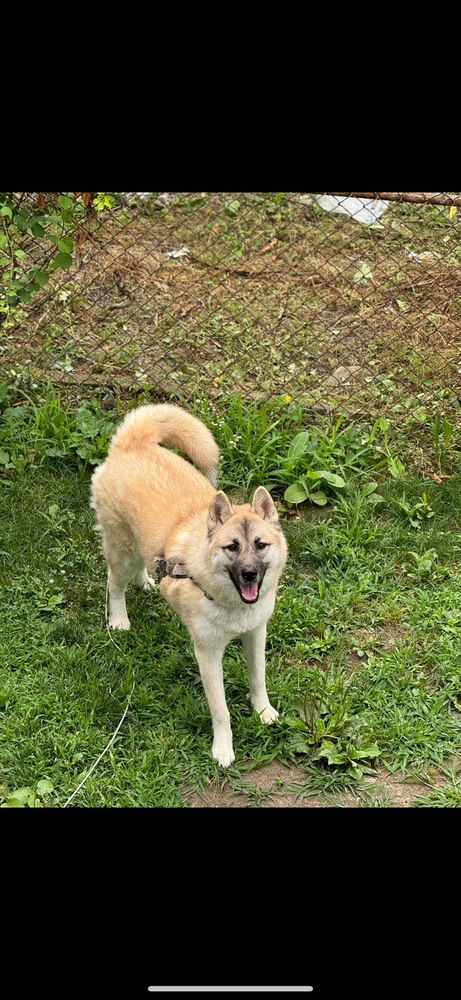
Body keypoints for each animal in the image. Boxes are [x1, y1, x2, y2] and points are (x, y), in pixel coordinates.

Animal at [90, 404, 288, 764]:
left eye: (261, 545)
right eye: (232, 547)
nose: (250, 574)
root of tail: (132, 443)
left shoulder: (256, 635)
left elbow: (258, 680)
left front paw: (263, 712)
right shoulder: (207, 654)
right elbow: (221, 710)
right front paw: (223, 749)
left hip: (141, 545)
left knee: (143, 566)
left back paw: (148, 582)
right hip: (122, 550)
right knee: (114, 583)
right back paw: (119, 620)